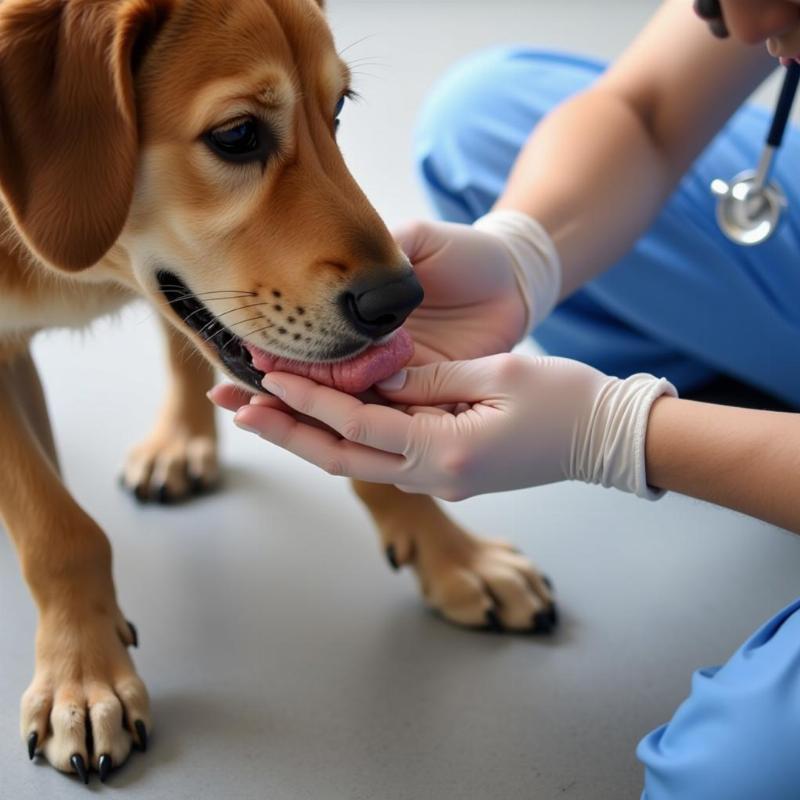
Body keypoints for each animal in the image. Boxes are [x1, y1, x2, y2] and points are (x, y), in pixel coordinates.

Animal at [0, 0, 556, 780]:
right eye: (236, 135)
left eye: (339, 109)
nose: (401, 300)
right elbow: (57, 528)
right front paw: (82, 677)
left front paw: (454, 555)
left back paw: (183, 442)